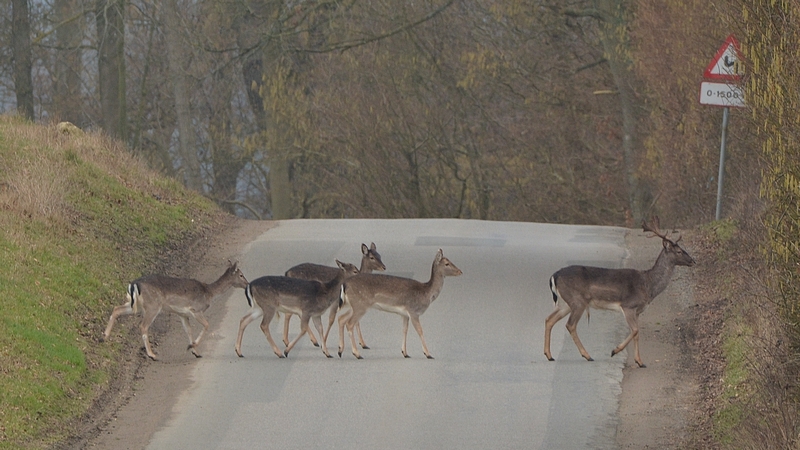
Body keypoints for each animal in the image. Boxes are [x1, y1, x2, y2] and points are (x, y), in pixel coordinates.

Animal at [101, 260, 248, 358]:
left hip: (136, 305)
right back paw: (152, 354)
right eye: (241, 275)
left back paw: (104, 337)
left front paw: (195, 351)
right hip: (153, 305)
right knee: (143, 326)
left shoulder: (182, 314)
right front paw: (192, 347)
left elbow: (188, 330)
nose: (247, 284)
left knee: (116, 309)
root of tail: (133, 284)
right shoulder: (196, 309)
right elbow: (207, 325)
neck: (208, 293)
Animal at [544, 218, 692, 370]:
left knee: (549, 319)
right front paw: (615, 351)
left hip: (565, 302)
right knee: (570, 325)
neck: (648, 285)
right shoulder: (628, 305)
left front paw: (640, 361)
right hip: (577, 300)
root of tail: (554, 276)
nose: (692, 260)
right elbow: (635, 330)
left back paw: (549, 355)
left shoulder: (637, 311)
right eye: (679, 251)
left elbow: (637, 333)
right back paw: (587, 355)